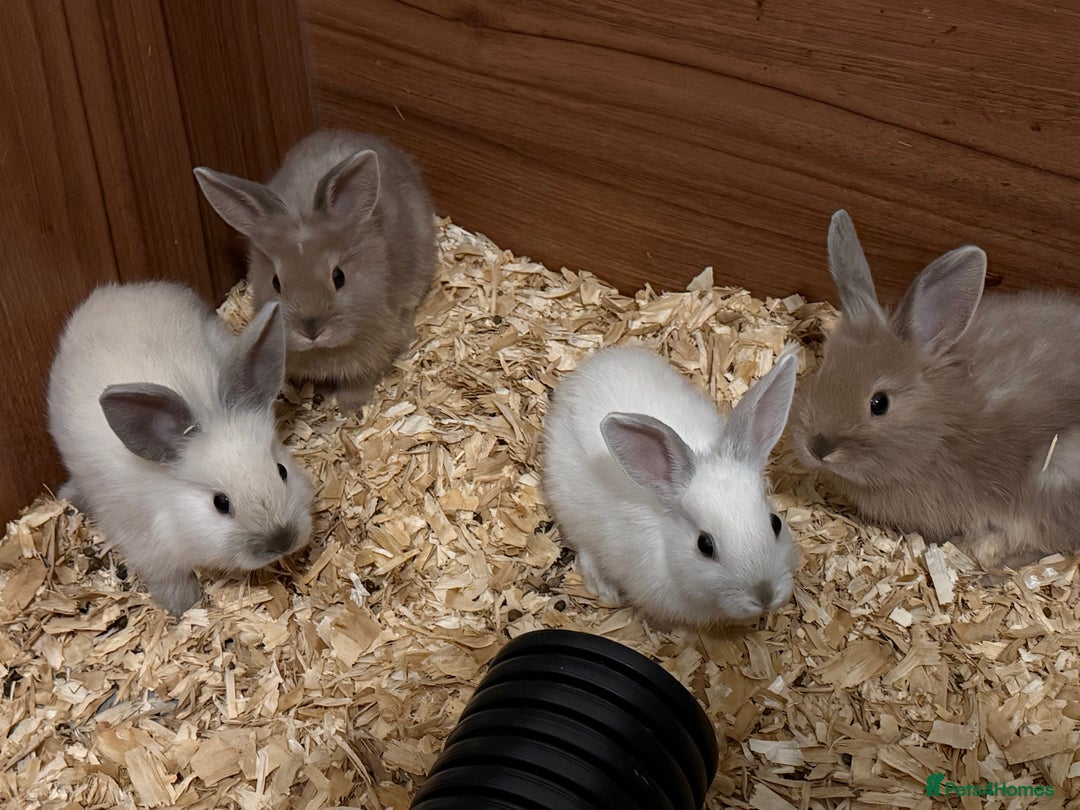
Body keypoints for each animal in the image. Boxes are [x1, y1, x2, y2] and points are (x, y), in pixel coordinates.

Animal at [47, 281, 315, 616]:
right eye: (221, 503)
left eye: (281, 471)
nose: (281, 541)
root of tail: (118, 291)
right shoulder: (149, 549)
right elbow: (171, 582)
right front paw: (184, 608)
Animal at [193, 129, 437, 409]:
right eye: (276, 282)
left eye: (339, 277)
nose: (311, 330)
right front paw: (322, 396)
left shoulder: (372, 352)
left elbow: (359, 383)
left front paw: (350, 408)